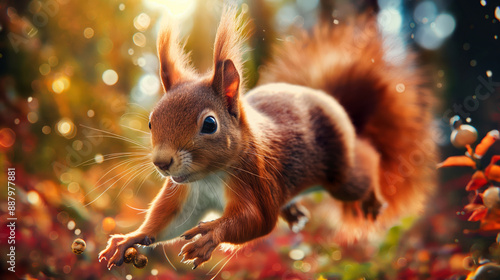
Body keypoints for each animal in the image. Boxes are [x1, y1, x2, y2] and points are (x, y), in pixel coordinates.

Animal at [97, 6, 434, 270]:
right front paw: (128, 238)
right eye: (151, 122)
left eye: (209, 124)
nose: (162, 163)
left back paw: (371, 197)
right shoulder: (186, 194)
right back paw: (292, 211)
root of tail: (336, 105)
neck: (210, 177)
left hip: (342, 176)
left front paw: (212, 234)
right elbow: (166, 222)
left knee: (367, 161)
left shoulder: (255, 178)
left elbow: (257, 220)